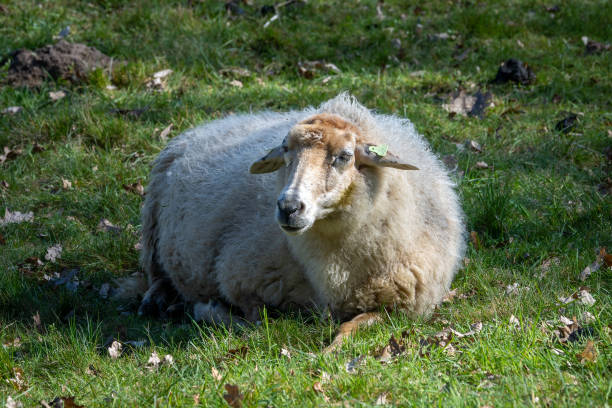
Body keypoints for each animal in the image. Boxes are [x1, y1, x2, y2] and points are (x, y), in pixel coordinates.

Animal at [129, 93, 464, 350]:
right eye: (286, 152)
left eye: (344, 156)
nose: (288, 207)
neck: (336, 270)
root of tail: (206, 126)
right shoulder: (243, 283)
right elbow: (255, 321)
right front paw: (210, 311)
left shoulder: (403, 308)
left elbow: (353, 327)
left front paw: (334, 347)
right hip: (153, 231)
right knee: (158, 275)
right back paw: (157, 301)